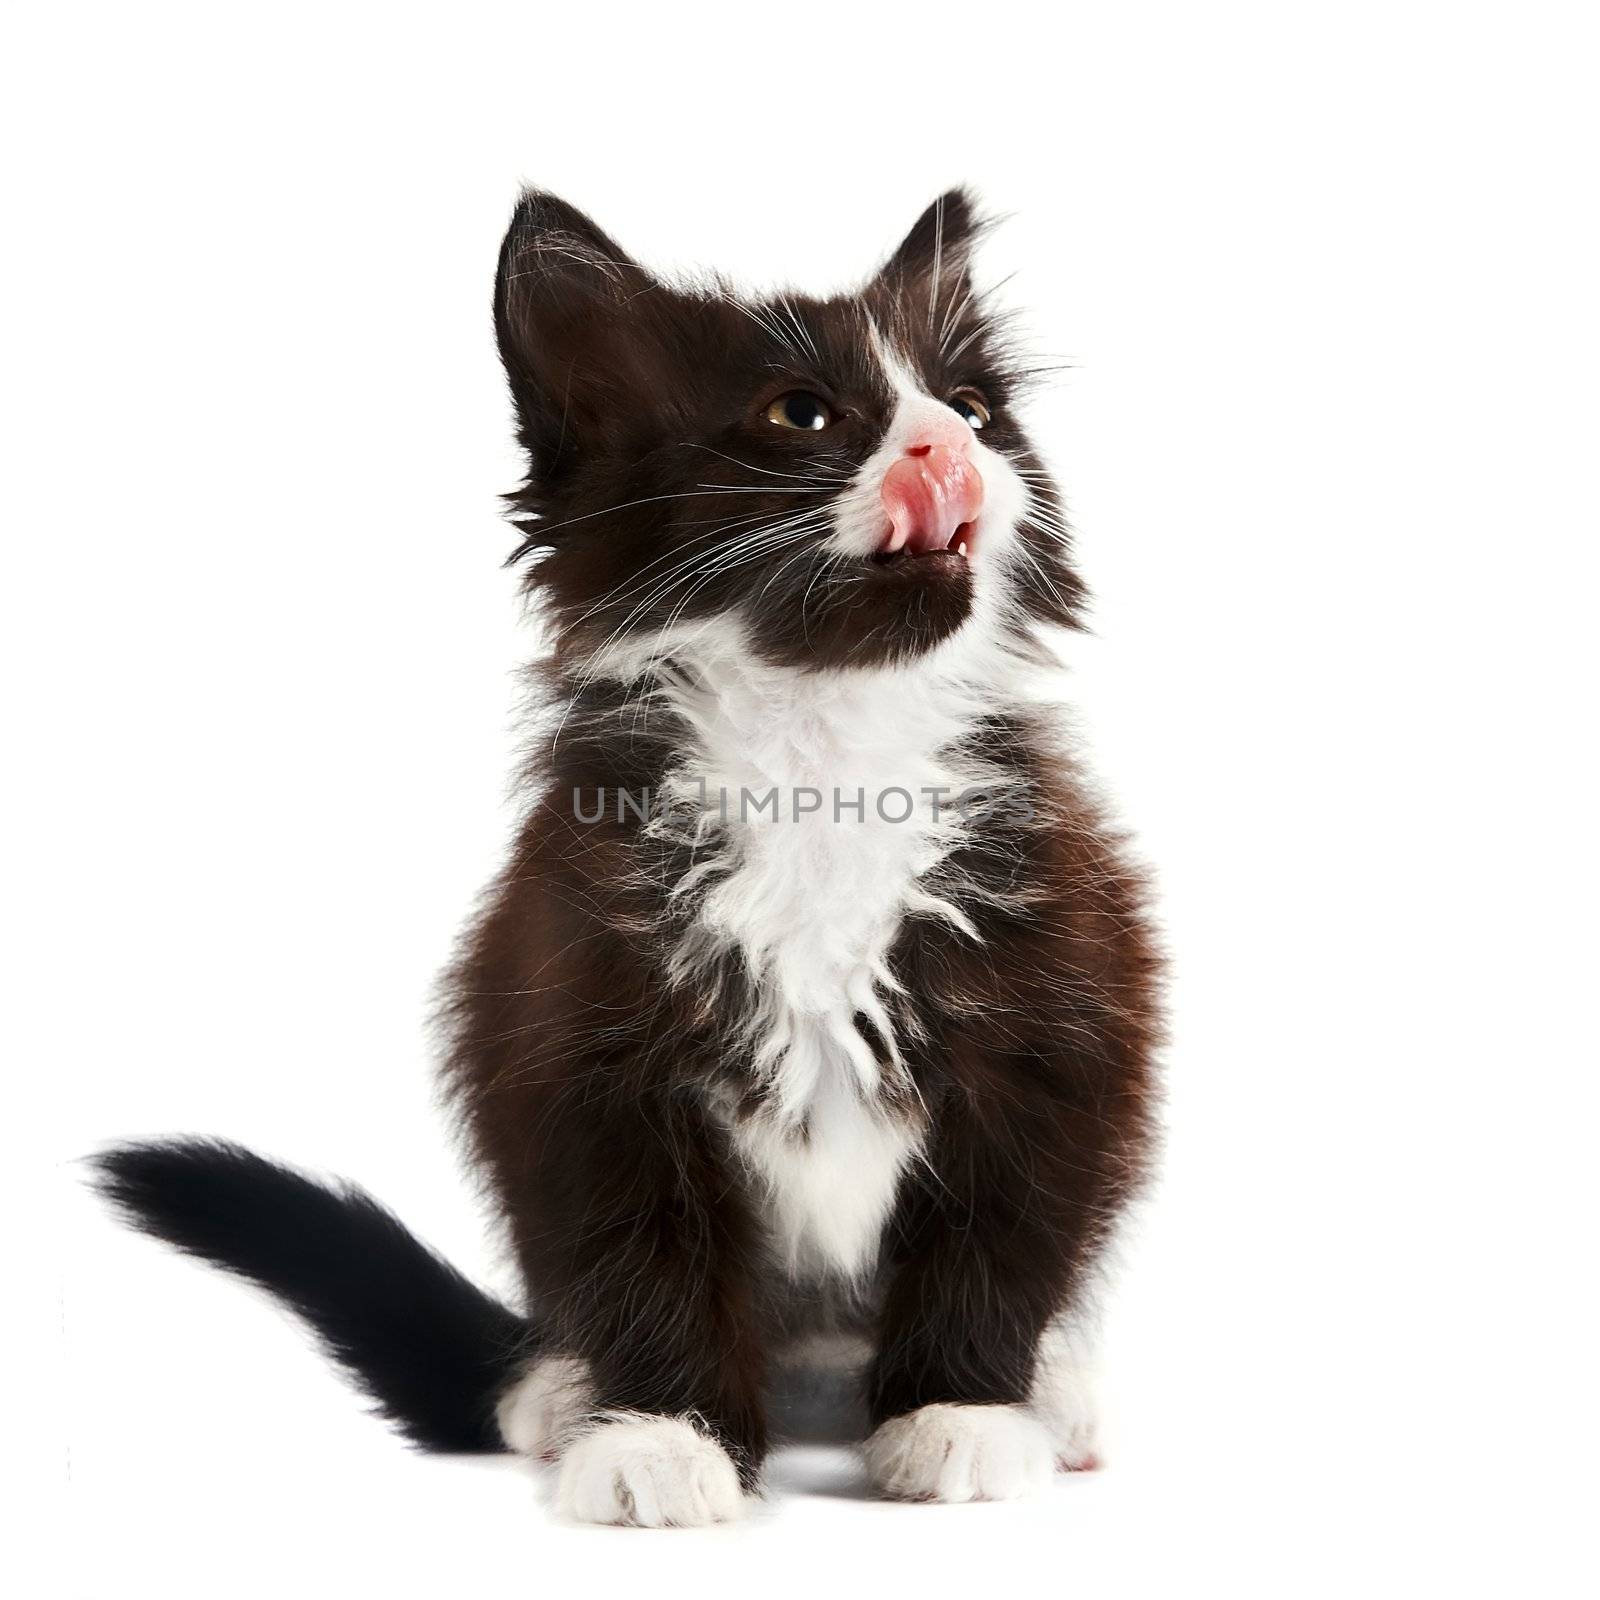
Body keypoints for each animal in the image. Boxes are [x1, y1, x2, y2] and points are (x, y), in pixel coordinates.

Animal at [96, 193, 1164, 1529]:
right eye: (802, 414)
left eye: (972, 410)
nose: (943, 448)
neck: (821, 756)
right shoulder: (570, 1026)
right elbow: (637, 1250)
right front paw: (660, 1432)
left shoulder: (1055, 1018)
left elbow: (1000, 1235)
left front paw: (961, 1411)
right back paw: (558, 1390)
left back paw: (1052, 1392)